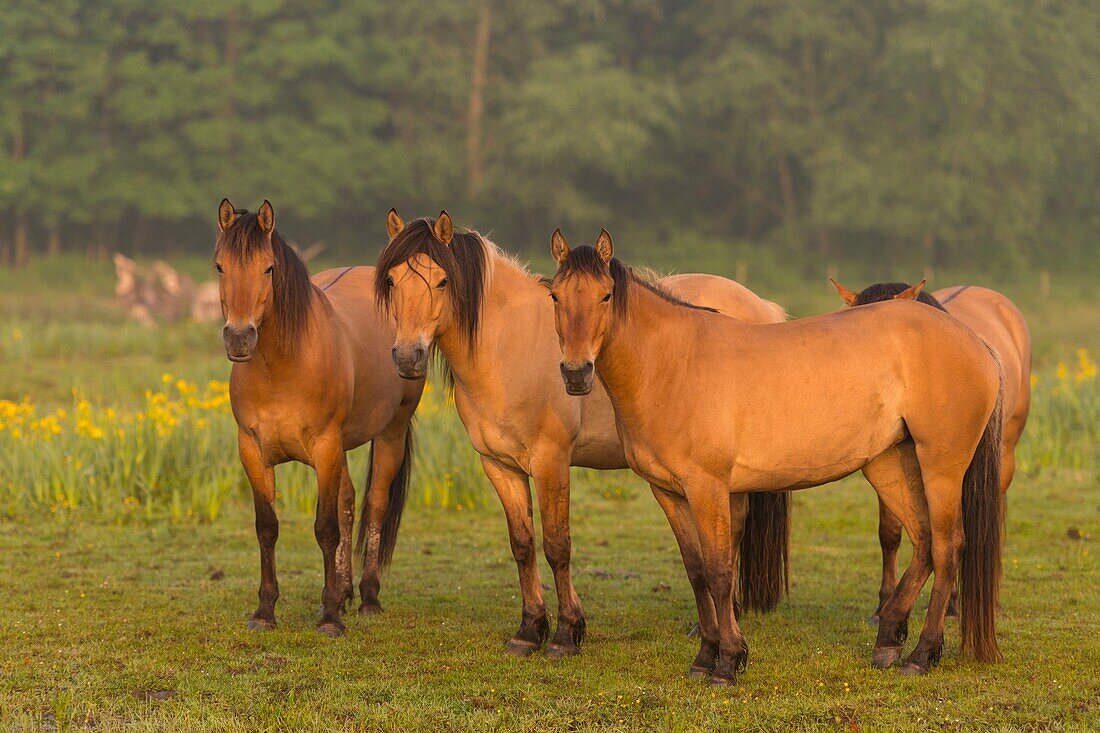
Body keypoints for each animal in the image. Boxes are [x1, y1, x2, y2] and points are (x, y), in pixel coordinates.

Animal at [216, 198, 422, 633]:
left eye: (268, 268)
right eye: (220, 266)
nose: (239, 338)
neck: (281, 367)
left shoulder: (325, 447)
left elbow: (326, 528)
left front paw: (329, 617)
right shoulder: (253, 453)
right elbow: (267, 528)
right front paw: (265, 611)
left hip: (389, 433)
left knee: (374, 506)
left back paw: (367, 597)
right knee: (348, 501)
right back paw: (344, 590)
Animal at [378, 210, 792, 655]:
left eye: (441, 281)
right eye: (392, 281)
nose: (408, 356)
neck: (506, 344)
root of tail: (762, 307)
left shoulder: (551, 461)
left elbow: (557, 546)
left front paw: (566, 633)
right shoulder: (499, 466)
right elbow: (522, 544)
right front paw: (529, 631)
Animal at [550, 231, 1007, 682]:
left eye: (606, 295)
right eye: (555, 295)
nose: (575, 374)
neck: (672, 364)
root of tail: (976, 341)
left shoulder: (707, 488)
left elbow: (719, 572)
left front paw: (729, 661)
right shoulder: (668, 493)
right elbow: (696, 573)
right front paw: (704, 656)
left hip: (941, 466)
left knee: (948, 547)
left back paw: (922, 654)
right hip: (890, 464)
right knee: (924, 541)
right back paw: (889, 640)